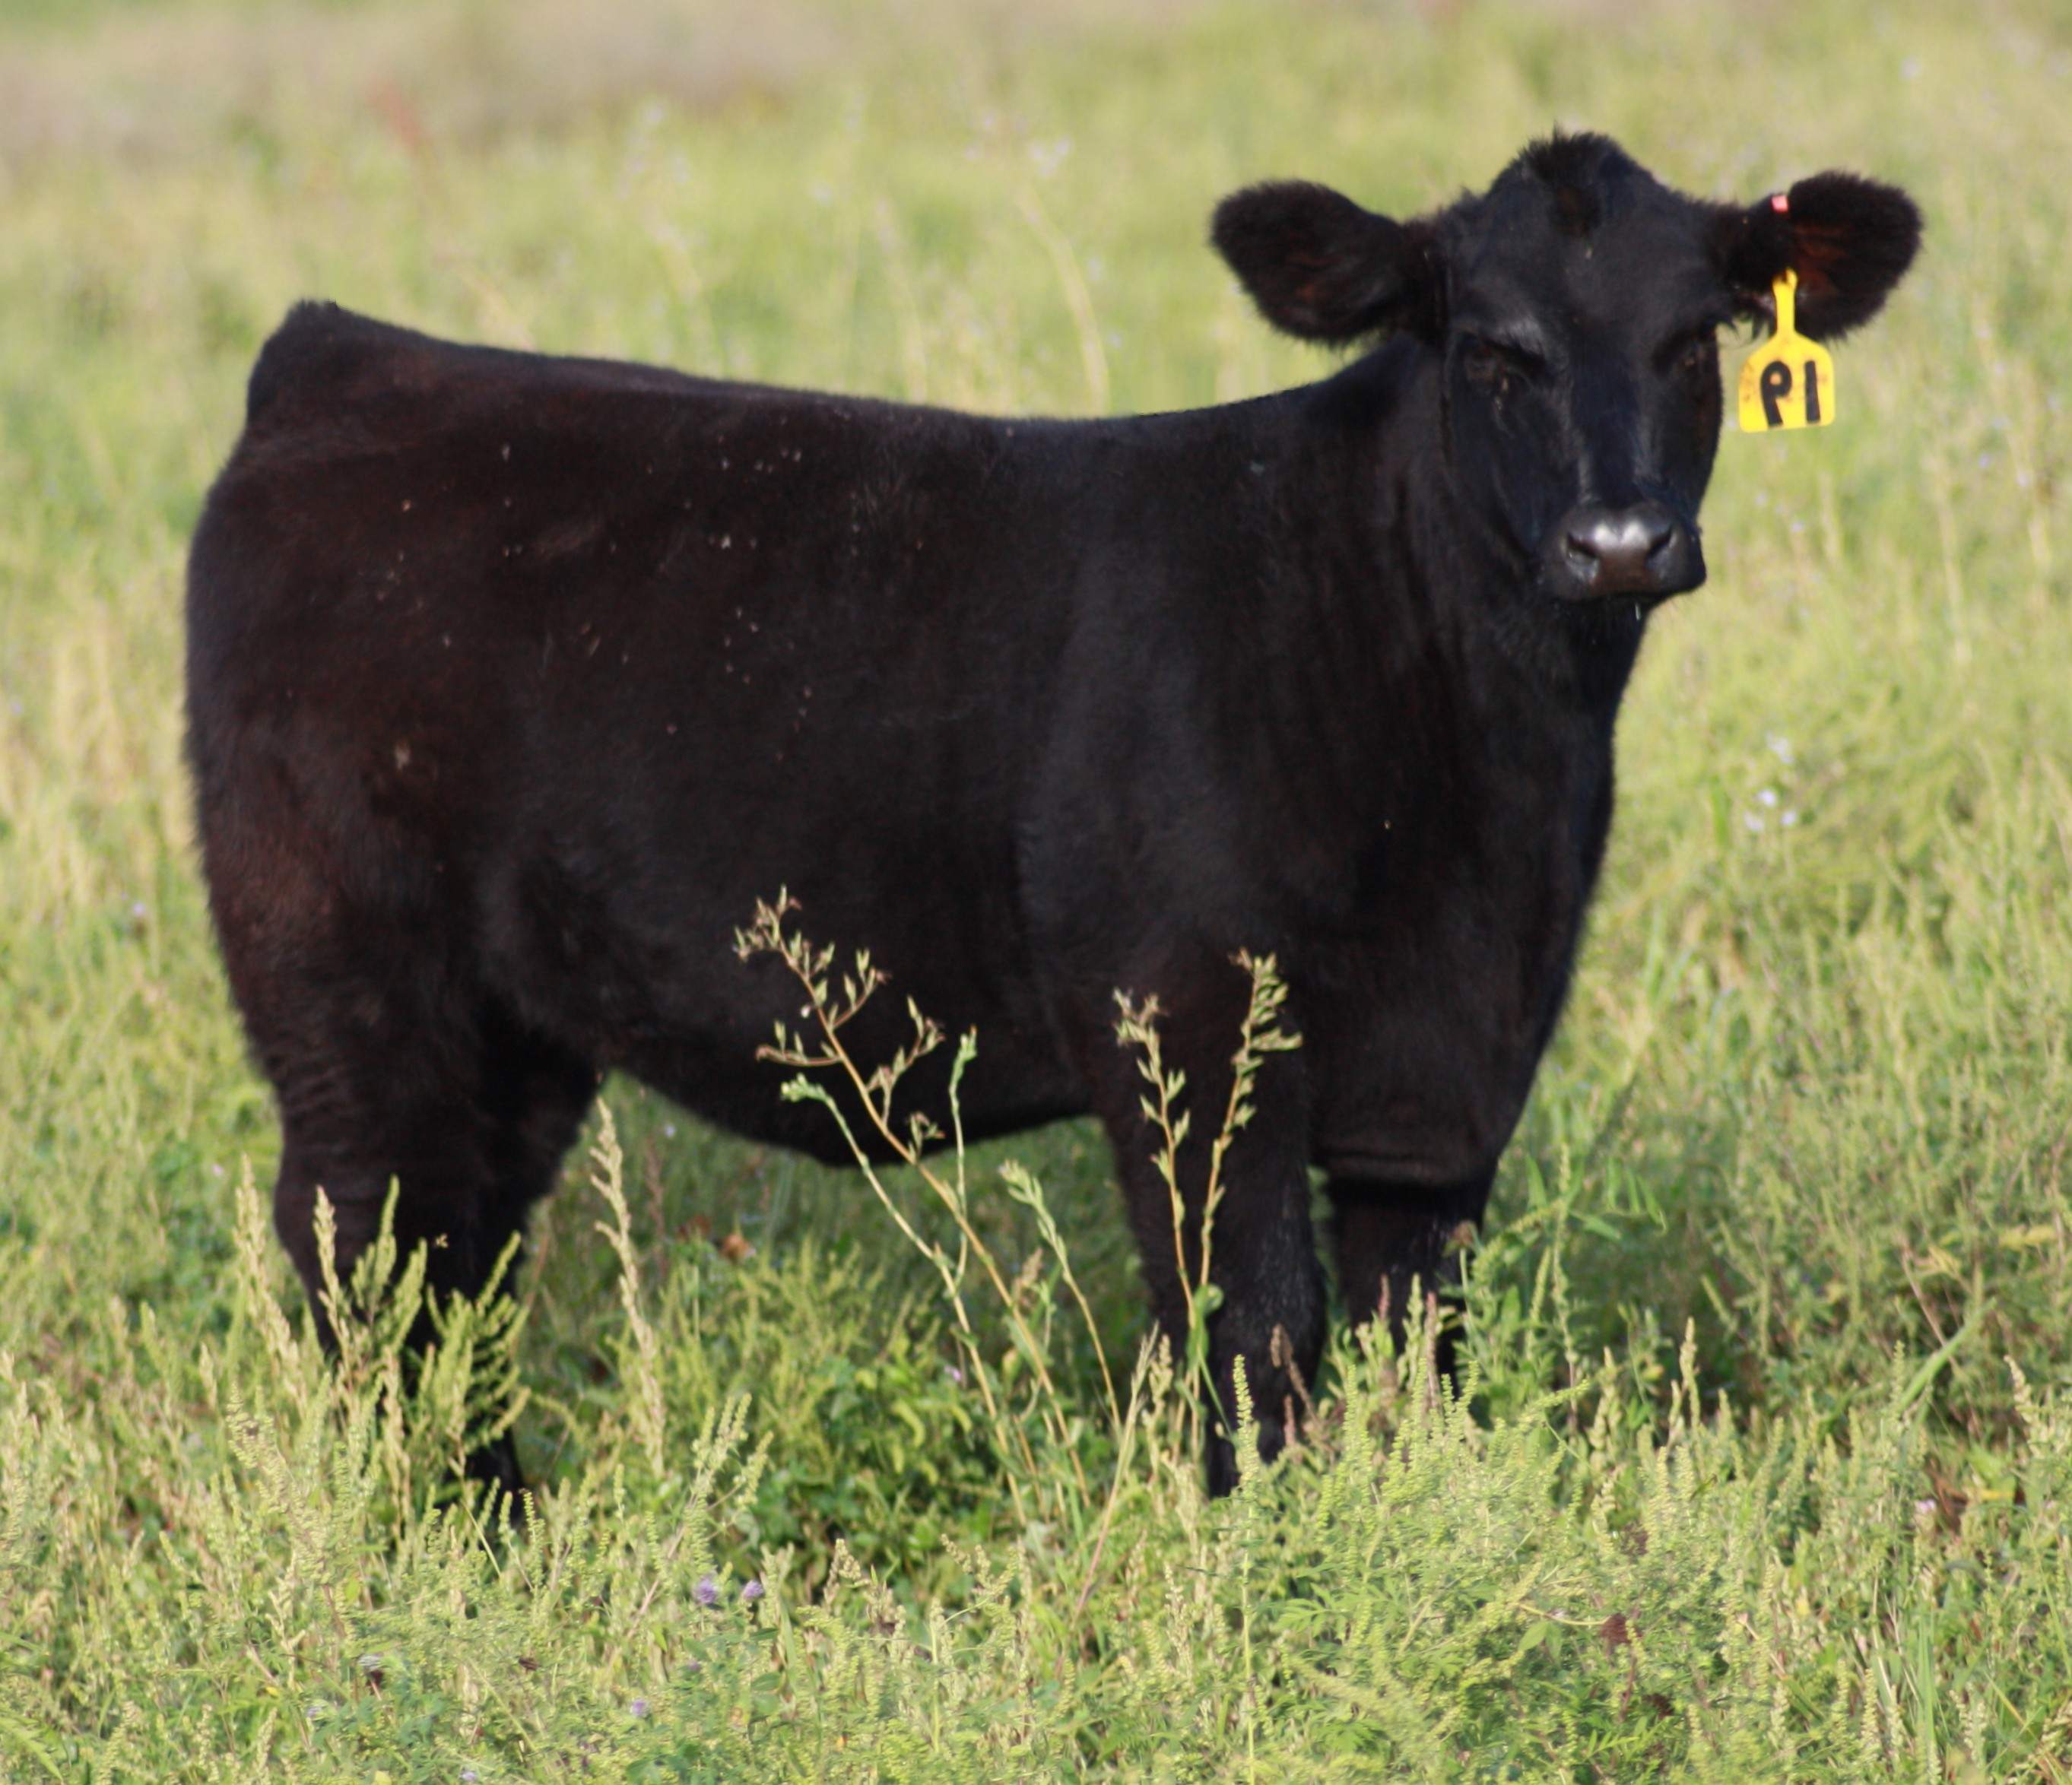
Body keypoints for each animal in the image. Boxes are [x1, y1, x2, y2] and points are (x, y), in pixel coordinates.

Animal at [186, 134, 1919, 1494]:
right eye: (1491, 349)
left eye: (1697, 341)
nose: (1618, 542)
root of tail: (345, 357)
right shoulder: (1187, 1032)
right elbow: (1253, 1330)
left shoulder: (1453, 1081)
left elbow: (1412, 1344)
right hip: (346, 972)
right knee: (365, 1236)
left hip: (518, 1017)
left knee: (461, 1251)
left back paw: (501, 1517)